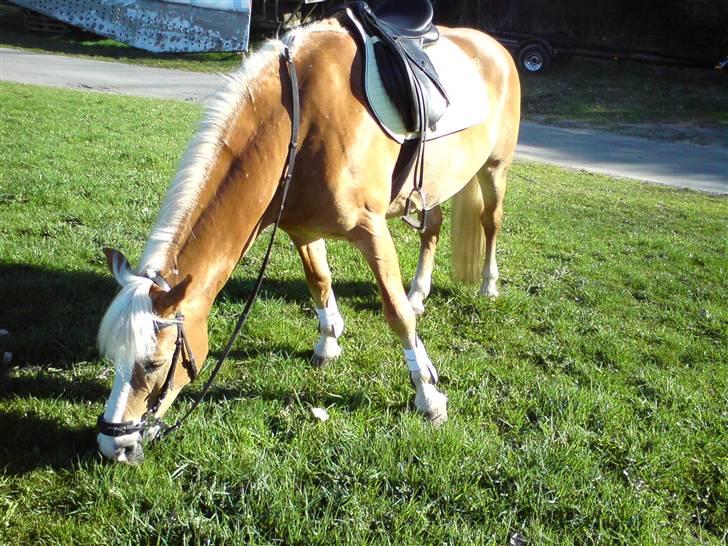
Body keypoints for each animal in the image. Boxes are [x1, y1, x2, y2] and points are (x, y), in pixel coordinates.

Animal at [96, 17, 520, 462]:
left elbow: (397, 314)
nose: (114, 445)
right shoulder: (302, 229)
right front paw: (328, 343)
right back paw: (420, 291)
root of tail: (492, 46)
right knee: (432, 228)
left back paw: (488, 285)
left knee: (490, 222)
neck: (299, 124)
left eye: (154, 363)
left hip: (495, 168)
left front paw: (429, 396)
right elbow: (320, 282)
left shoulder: (372, 230)